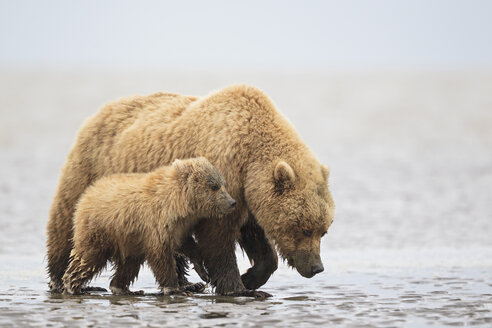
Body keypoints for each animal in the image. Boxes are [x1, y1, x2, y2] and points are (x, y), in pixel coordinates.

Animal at [47, 84, 334, 294]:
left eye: (323, 229)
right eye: (303, 228)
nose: (317, 267)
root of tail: (100, 111)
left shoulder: (247, 196)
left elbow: (254, 235)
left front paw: (251, 277)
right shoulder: (223, 175)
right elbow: (218, 234)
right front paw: (236, 286)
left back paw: (187, 283)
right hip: (91, 168)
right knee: (65, 219)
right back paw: (61, 278)